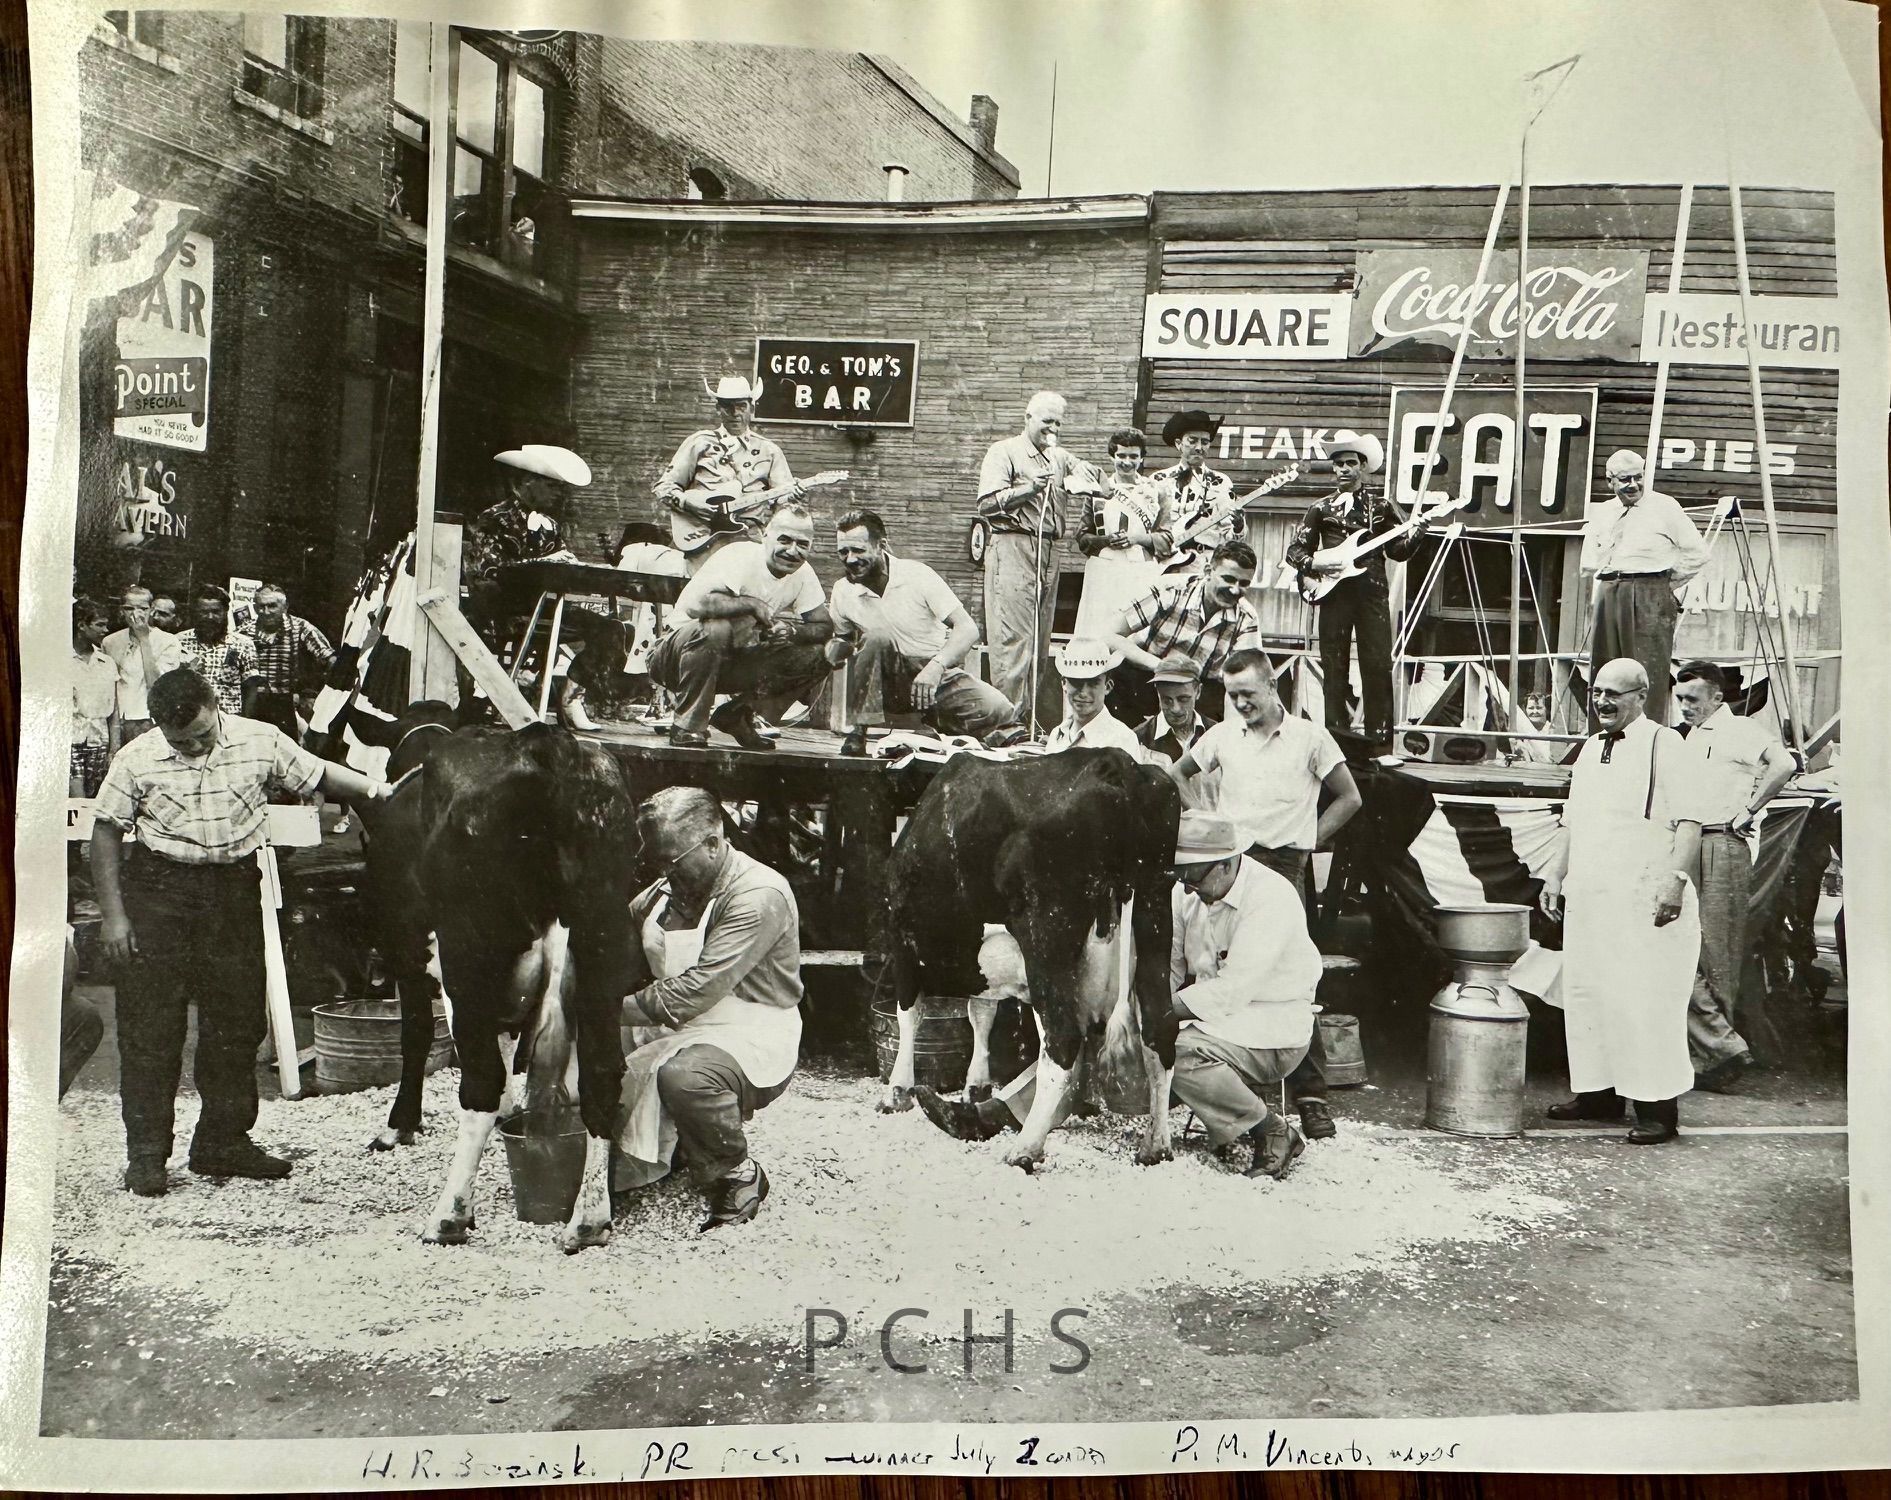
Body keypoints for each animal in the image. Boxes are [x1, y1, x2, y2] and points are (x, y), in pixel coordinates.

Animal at [359, 719, 640, 1252]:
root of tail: (547, 744)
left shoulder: (407, 953)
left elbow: (416, 1037)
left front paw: (397, 1127)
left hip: (468, 956)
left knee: (481, 1081)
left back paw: (449, 1215)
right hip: (605, 951)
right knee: (602, 1073)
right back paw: (589, 1219)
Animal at [880, 747, 1182, 1170]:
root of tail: (1115, 764)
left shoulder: (902, 939)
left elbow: (910, 1014)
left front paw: (897, 1091)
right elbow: (981, 1013)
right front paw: (976, 1085)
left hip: (1046, 936)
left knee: (1062, 1039)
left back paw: (1024, 1148)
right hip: (1155, 914)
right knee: (1161, 1027)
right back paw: (1156, 1145)